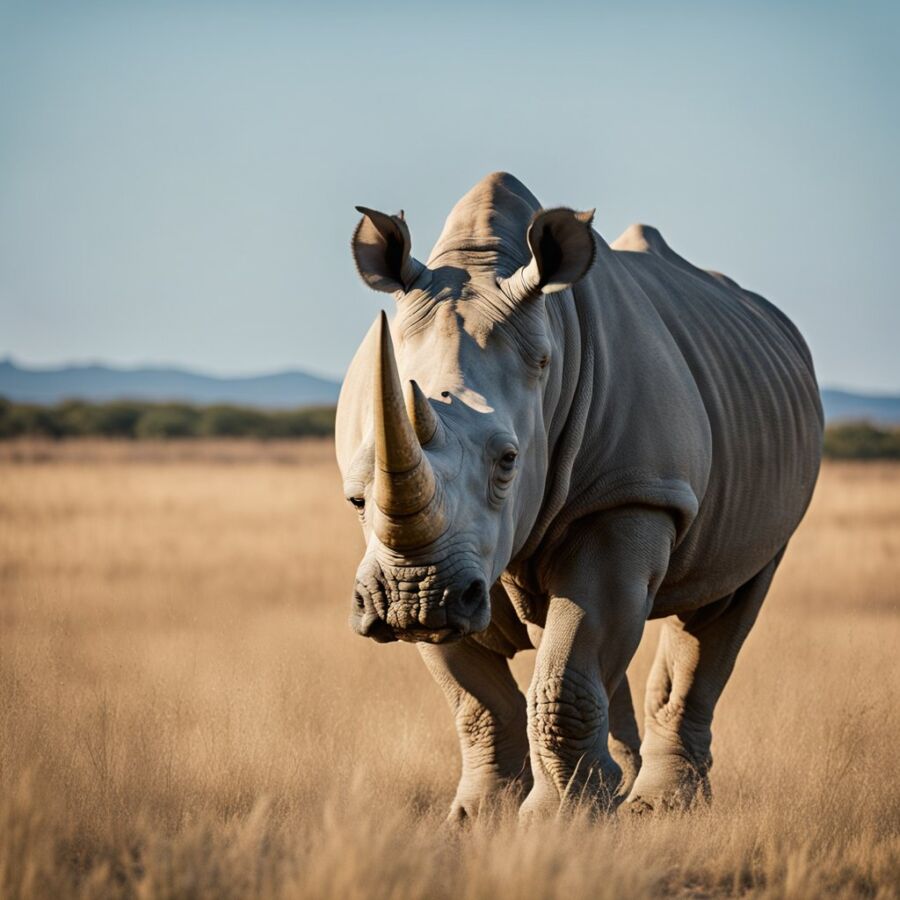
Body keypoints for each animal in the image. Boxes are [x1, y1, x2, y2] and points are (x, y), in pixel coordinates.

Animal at [335, 172, 822, 821]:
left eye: (509, 461)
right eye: (357, 497)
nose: (415, 597)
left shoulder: (631, 496)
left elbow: (567, 673)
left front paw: (559, 823)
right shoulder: (410, 560)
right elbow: (479, 700)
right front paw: (477, 821)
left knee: (725, 605)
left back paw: (660, 808)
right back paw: (621, 792)